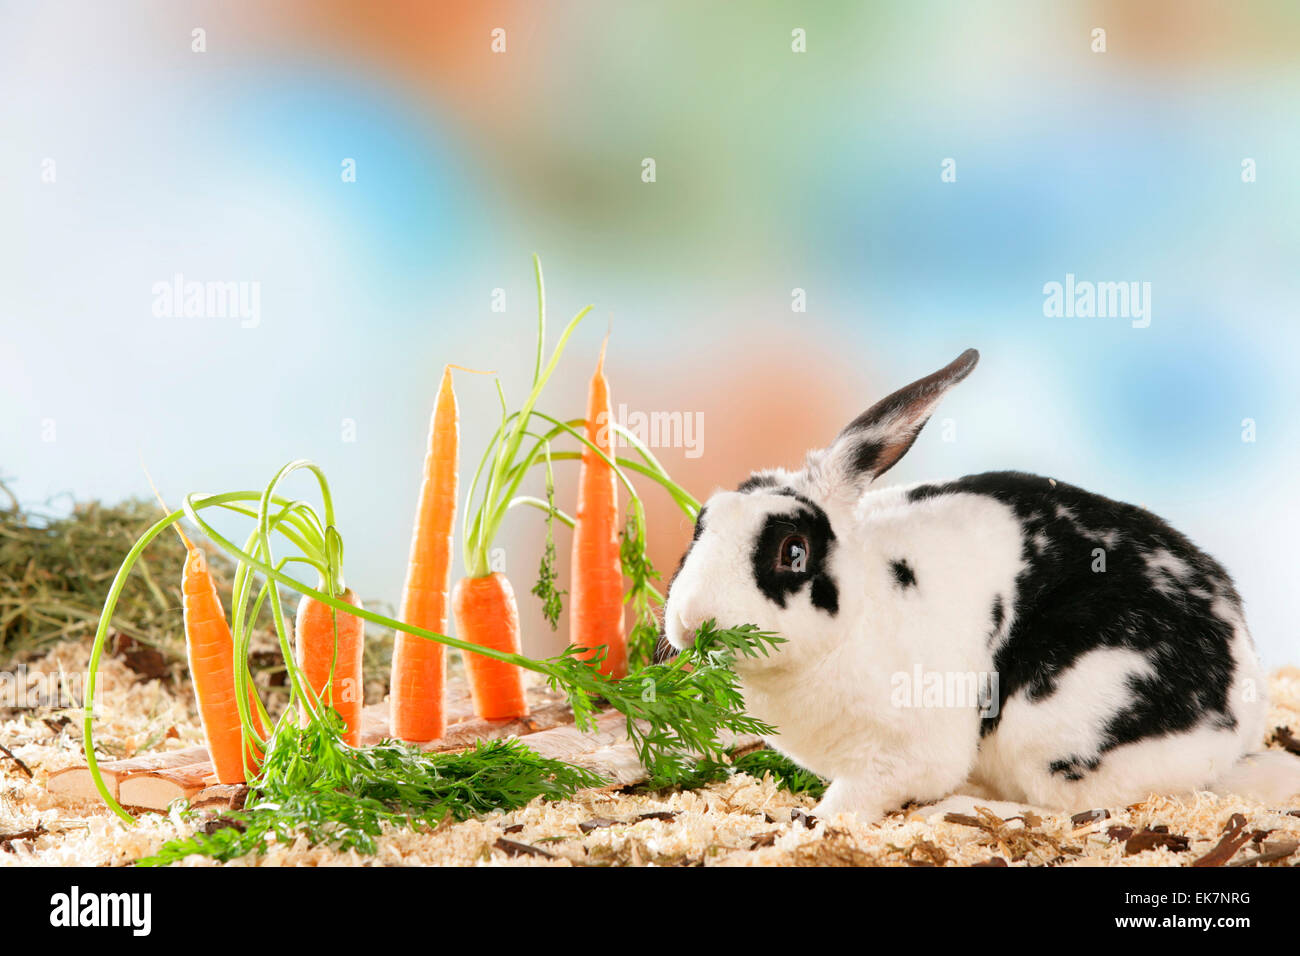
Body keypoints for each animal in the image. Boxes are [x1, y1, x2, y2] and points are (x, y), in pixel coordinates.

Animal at [662, 349, 1300, 821]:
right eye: (700, 523)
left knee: (1064, 808)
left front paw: (816, 825)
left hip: (1058, 727)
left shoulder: (903, 756)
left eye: (793, 551)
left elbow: (856, 796)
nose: (692, 622)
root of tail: (1242, 723)